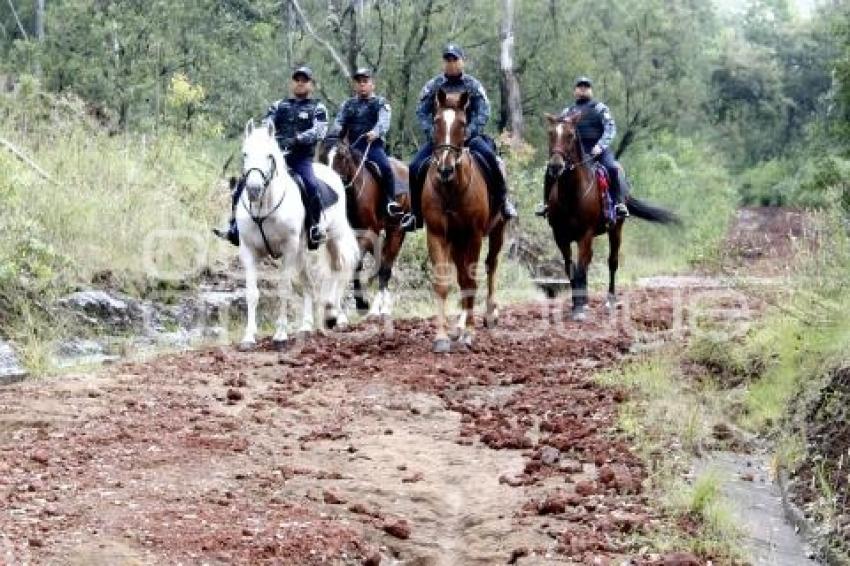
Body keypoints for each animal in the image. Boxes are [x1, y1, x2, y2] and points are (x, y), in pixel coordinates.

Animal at [235, 120, 358, 350]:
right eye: (245, 154)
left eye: (269, 156)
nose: (253, 190)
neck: (265, 208)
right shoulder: (249, 251)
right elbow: (252, 293)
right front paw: (248, 337)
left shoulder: (288, 249)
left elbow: (284, 289)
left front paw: (280, 335)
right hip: (302, 253)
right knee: (308, 283)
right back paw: (306, 326)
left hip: (333, 240)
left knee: (339, 268)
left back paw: (334, 315)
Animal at [320, 139, 410, 320]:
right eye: (324, 156)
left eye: (342, 156)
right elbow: (354, 265)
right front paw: (351, 307)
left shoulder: (369, 232)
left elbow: (356, 263)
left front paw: (361, 305)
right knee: (382, 262)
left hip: (397, 230)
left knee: (385, 268)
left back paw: (379, 309)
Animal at [422, 89, 506, 352]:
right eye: (436, 121)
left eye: (462, 123)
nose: (445, 169)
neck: (451, 189)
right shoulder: (437, 234)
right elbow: (444, 283)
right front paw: (441, 337)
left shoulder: (474, 235)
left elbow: (470, 281)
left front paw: (470, 333)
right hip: (457, 242)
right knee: (460, 275)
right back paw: (458, 326)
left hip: (497, 231)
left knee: (490, 265)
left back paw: (489, 314)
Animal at [544, 113, 676, 322]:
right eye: (550, 133)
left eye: (570, 135)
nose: (556, 166)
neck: (571, 195)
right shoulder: (560, 237)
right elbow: (571, 269)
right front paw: (577, 304)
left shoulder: (585, 234)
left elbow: (580, 269)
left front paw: (579, 309)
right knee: (587, 263)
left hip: (616, 230)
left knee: (612, 262)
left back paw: (611, 300)